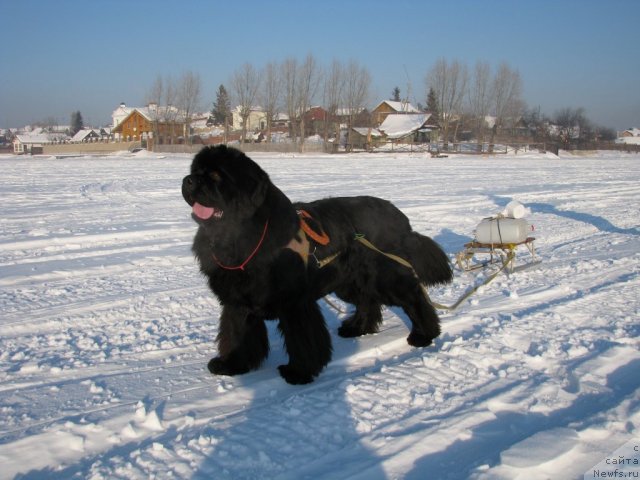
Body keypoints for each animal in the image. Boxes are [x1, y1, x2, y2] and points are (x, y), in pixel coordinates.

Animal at [180, 144, 452, 384]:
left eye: (216, 175)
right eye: (195, 170)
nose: (188, 180)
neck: (246, 238)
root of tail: (401, 218)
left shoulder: (295, 303)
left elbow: (303, 340)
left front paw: (298, 373)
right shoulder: (237, 301)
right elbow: (236, 334)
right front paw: (232, 364)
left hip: (384, 275)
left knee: (414, 297)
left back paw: (423, 334)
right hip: (349, 281)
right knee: (368, 301)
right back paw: (357, 328)